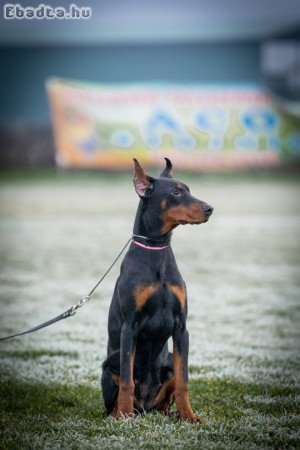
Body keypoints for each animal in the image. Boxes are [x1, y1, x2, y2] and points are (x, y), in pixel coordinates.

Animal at [101, 156, 213, 420]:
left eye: (189, 189)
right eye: (176, 192)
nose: (209, 208)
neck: (156, 249)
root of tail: (145, 406)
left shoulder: (181, 328)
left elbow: (183, 380)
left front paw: (189, 416)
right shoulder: (129, 327)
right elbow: (127, 380)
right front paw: (124, 417)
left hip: (168, 361)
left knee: (166, 394)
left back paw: (171, 413)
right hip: (110, 363)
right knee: (116, 395)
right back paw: (121, 413)